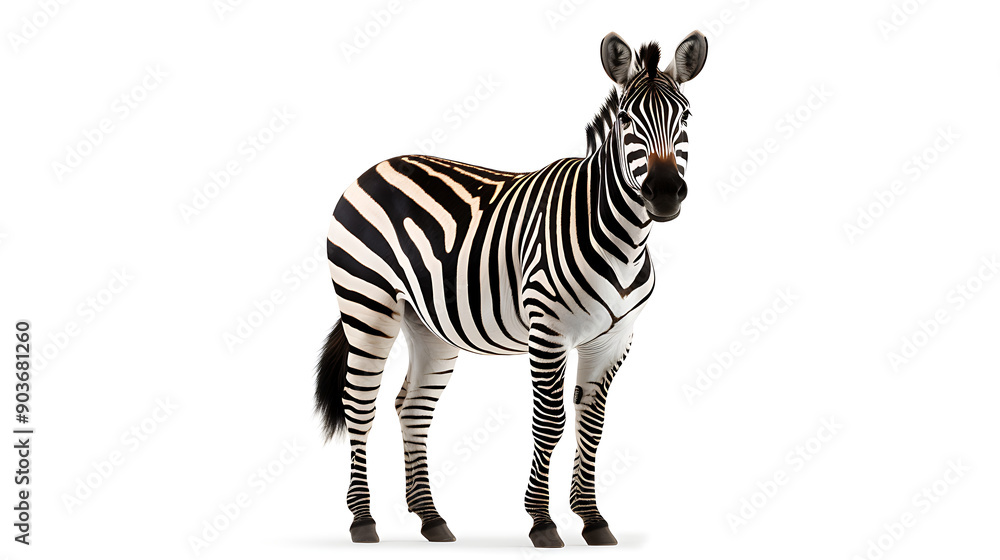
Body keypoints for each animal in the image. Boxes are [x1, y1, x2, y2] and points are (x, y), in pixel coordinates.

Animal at [316, 30, 708, 548]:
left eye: (685, 117)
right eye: (626, 119)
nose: (664, 194)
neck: (622, 238)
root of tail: (376, 167)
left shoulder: (612, 341)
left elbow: (592, 425)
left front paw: (593, 519)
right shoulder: (548, 333)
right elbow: (551, 422)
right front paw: (542, 522)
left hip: (429, 325)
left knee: (413, 407)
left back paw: (431, 518)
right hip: (367, 303)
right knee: (359, 405)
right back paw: (363, 521)